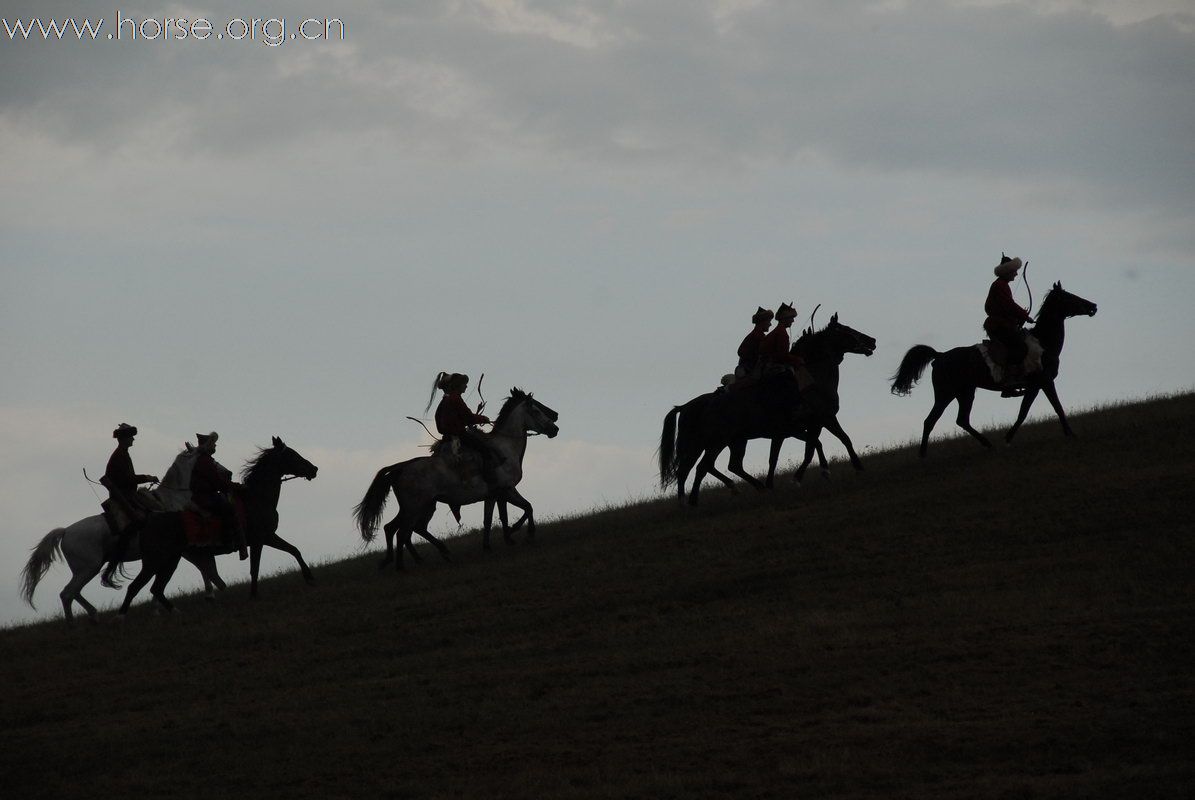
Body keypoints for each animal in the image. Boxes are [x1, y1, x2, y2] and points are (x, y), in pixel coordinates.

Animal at [20, 447, 230, 621]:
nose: (228, 474)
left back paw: (93, 615)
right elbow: (201, 567)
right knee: (67, 594)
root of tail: (65, 532)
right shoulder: (177, 551)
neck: (170, 502)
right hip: (88, 567)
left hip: (88, 568)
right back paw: (74, 624)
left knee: (74, 592)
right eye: (208, 459)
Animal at [116, 440, 317, 617]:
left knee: (157, 588)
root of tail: (147, 519)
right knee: (136, 587)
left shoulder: (268, 537)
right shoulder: (260, 539)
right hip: (155, 561)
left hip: (170, 560)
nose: (314, 469)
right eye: (292, 454)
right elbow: (255, 568)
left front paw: (309, 578)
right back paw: (122, 617)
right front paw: (253, 595)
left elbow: (294, 550)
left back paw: (178, 611)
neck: (256, 498)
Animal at [353, 389, 559, 571]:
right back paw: (403, 566)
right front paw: (523, 532)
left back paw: (415, 557)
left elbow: (491, 518)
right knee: (403, 532)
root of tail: (401, 467)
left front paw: (494, 544)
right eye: (536, 410)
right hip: (414, 507)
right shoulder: (507, 490)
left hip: (421, 506)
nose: (555, 427)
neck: (504, 449)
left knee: (399, 529)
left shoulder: (493, 496)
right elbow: (526, 508)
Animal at [659, 313, 874, 504]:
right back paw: (692, 501)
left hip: (731, 441)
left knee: (723, 466)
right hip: (711, 443)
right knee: (698, 468)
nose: (872, 341)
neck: (812, 379)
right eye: (845, 329)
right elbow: (831, 442)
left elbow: (809, 448)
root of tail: (687, 406)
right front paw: (854, 467)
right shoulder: (820, 420)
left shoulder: (803, 427)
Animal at [893, 281, 1094, 454]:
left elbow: (1024, 411)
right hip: (946, 394)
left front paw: (1008, 438)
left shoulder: (1035, 386)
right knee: (932, 421)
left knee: (959, 420)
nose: (1093, 306)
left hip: (964, 393)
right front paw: (1071, 434)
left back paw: (986, 444)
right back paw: (924, 455)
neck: (1043, 343)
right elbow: (1054, 407)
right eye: (1069, 296)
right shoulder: (1044, 381)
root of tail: (940, 356)